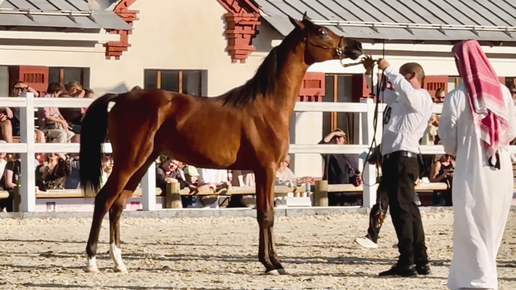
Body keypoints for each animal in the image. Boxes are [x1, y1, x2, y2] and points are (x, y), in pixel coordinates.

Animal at [80, 13, 362, 276]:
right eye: (322, 31)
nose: (356, 45)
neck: (267, 106)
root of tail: (123, 97)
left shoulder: (263, 171)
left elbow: (266, 214)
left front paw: (271, 262)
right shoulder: (266, 169)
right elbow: (266, 215)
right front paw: (272, 263)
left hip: (142, 163)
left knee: (118, 205)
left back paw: (119, 262)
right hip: (129, 160)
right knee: (103, 200)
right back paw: (92, 261)